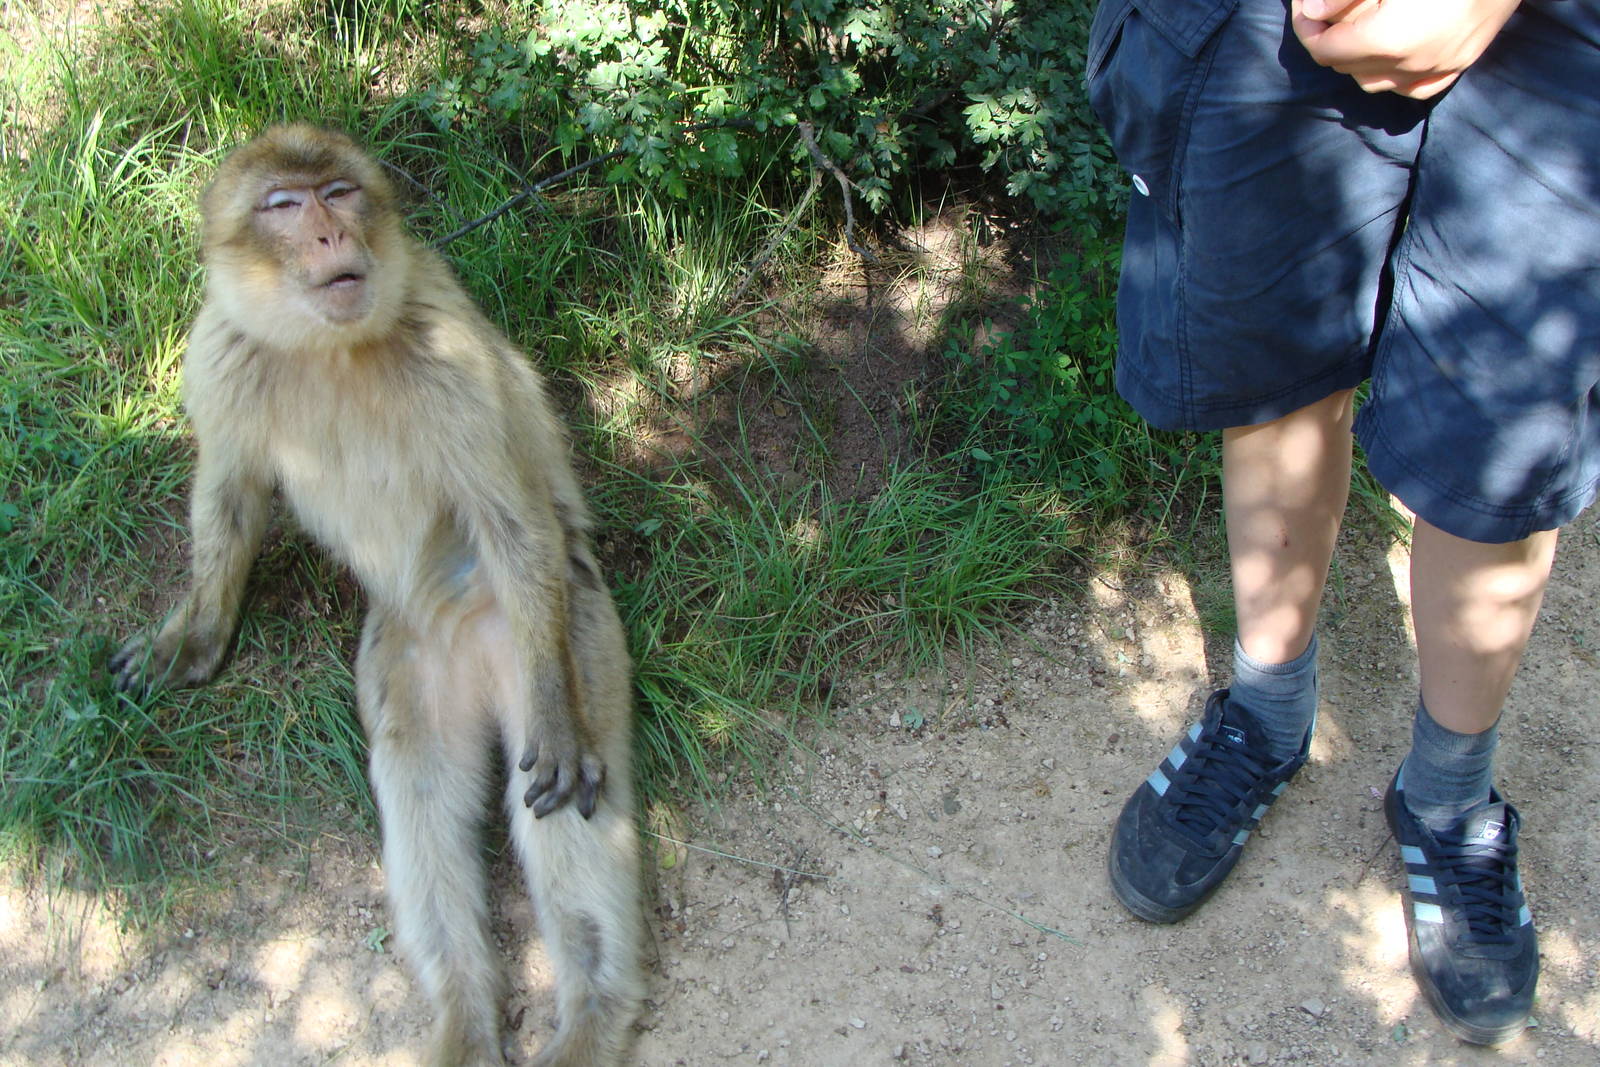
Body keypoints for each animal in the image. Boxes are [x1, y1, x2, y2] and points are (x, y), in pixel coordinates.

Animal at [109, 124, 643, 1067]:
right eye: (285, 204)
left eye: (340, 192)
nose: (329, 233)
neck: (329, 348)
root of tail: (470, 636)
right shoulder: (220, 353)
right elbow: (230, 492)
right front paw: (197, 630)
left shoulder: (450, 365)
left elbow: (515, 523)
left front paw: (553, 715)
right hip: (404, 656)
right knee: (420, 794)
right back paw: (465, 1017)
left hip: (570, 624)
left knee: (568, 799)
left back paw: (592, 1017)